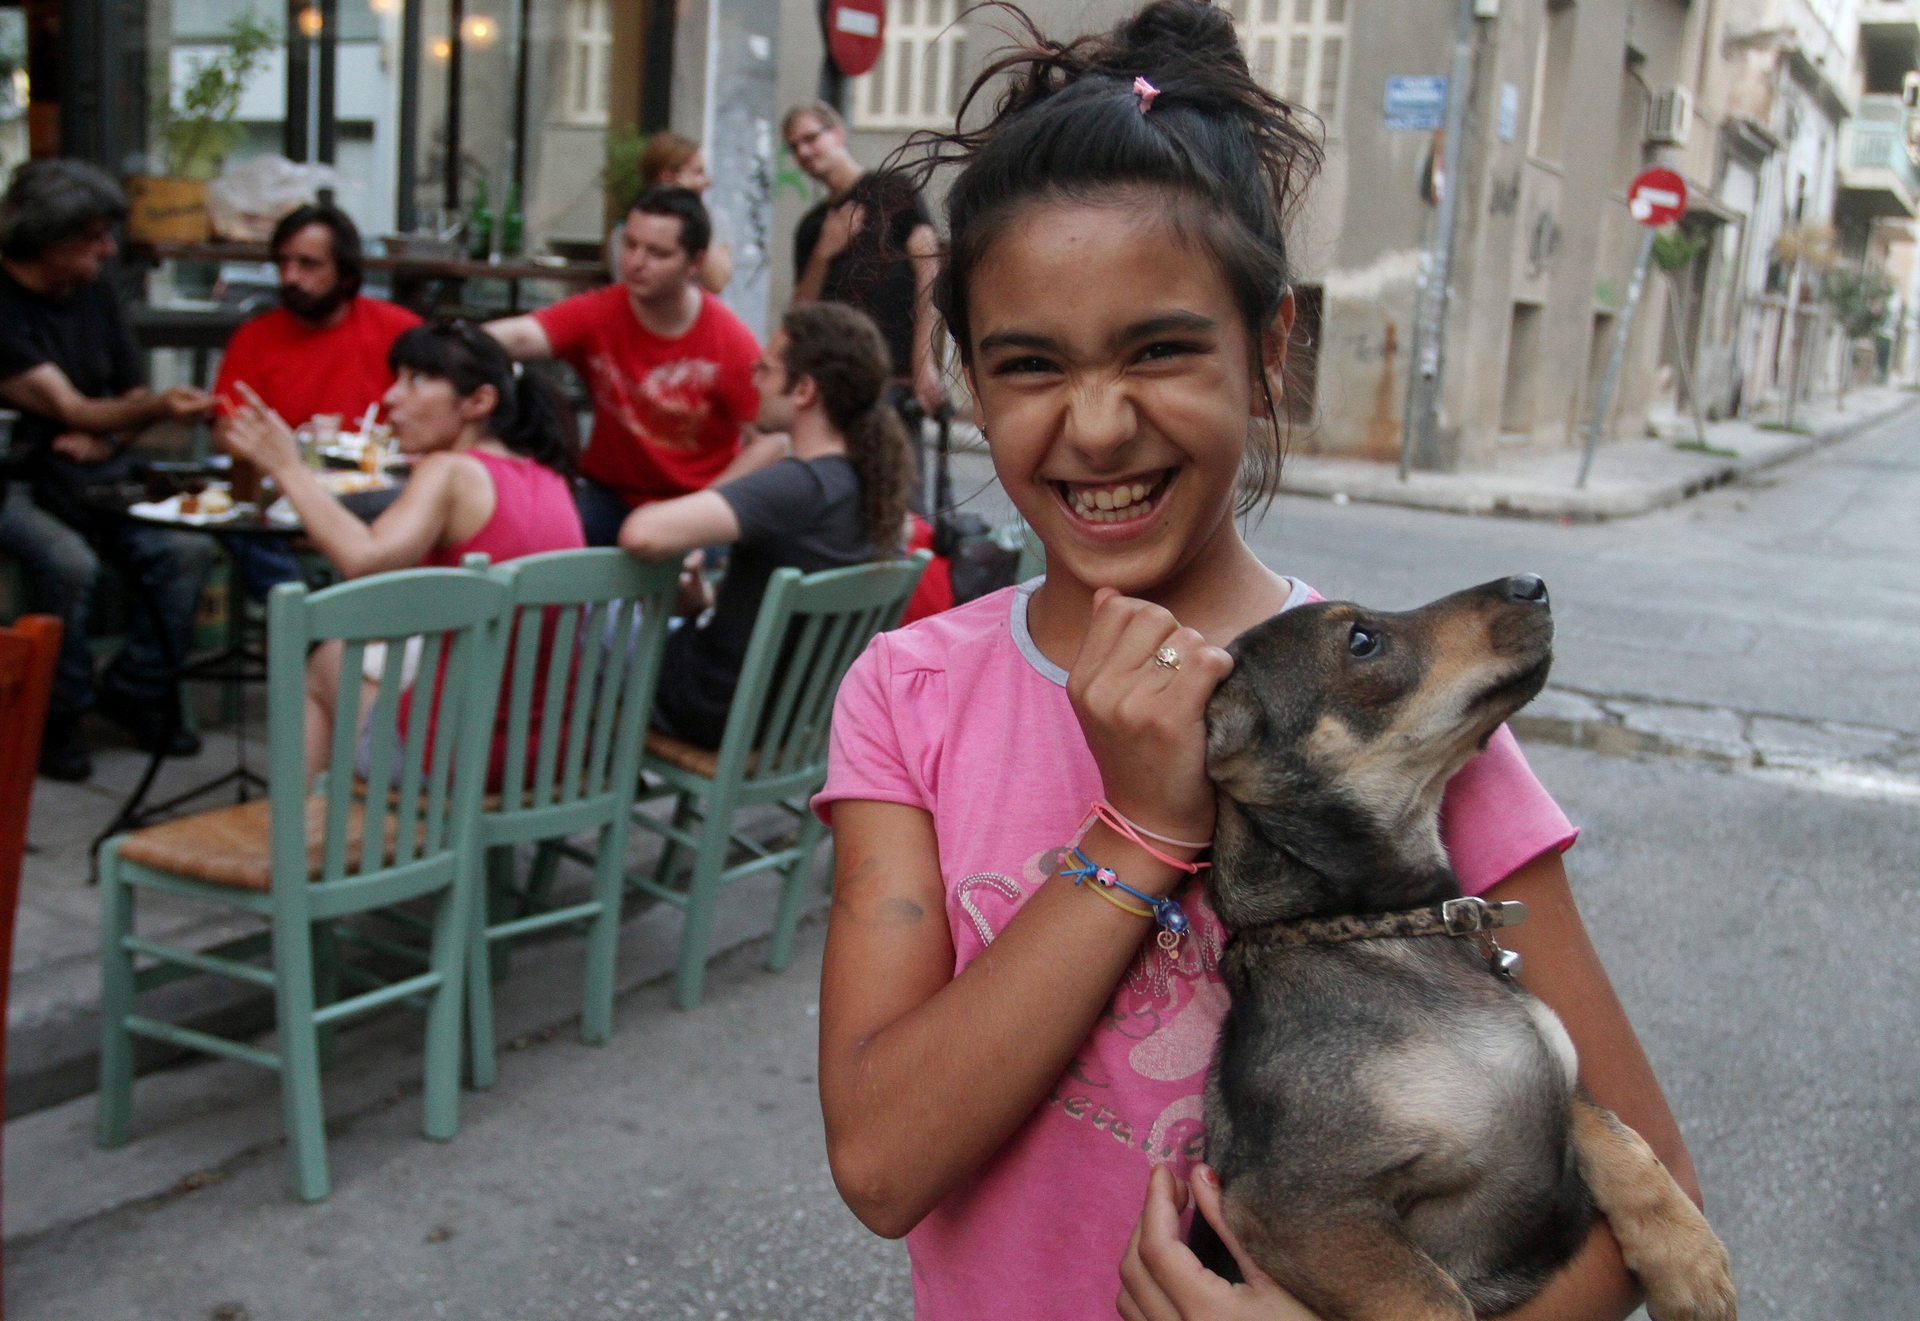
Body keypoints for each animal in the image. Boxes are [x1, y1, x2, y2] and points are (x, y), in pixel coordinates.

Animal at [1198, 576, 1743, 1321]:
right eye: (1361, 641)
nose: (1532, 583)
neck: (1387, 926)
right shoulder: (1298, 1208)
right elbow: (1436, 1301)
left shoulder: (1560, 1076)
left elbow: (1622, 1137)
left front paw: (1689, 1260)